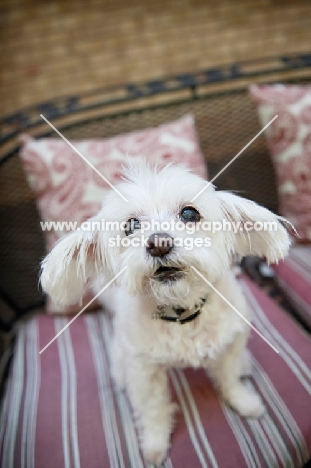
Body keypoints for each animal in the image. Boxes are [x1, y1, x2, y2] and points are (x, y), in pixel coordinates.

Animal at [40, 163, 292, 466]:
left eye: (189, 213)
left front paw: (244, 401)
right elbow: (153, 409)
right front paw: (155, 444)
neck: (182, 313)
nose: (158, 243)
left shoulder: (230, 343)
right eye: (131, 225)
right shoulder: (144, 372)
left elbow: (230, 377)